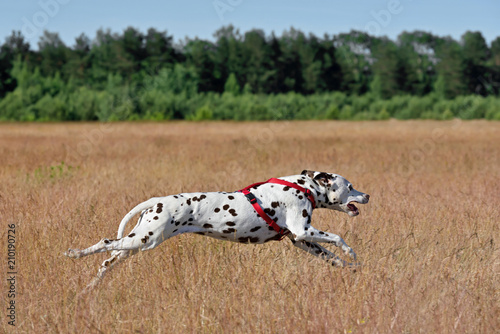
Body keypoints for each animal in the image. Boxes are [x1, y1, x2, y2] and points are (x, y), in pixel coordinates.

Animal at [64, 170, 370, 288]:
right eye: (351, 185)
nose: (367, 195)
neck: (303, 187)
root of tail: (157, 201)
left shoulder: (302, 240)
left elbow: (332, 257)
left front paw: (351, 267)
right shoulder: (304, 231)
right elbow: (339, 238)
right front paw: (352, 253)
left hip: (137, 243)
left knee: (107, 260)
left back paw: (90, 286)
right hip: (143, 240)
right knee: (104, 243)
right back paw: (74, 254)